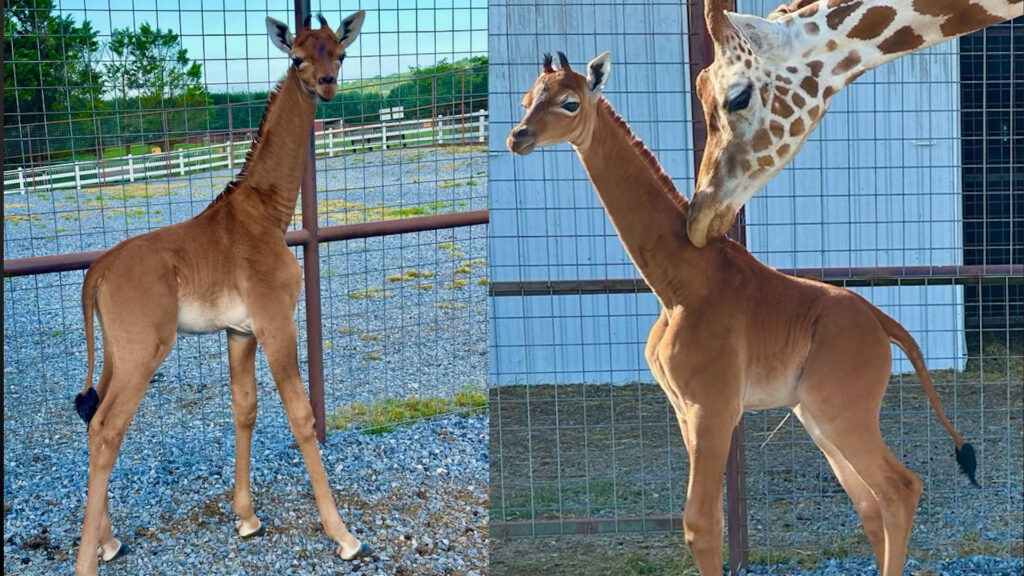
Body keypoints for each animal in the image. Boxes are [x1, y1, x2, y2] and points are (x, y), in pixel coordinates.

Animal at [71, 13, 372, 575]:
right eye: (297, 56)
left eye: (340, 53)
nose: (326, 85)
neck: (269, 214)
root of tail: (97, 271)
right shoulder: (276, 322)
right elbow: (302, 417)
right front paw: (343, 535)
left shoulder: (239, 331)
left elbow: (245, 408)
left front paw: (247, 518)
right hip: (144, 350)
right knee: (106, 429)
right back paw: (89, 559)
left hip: (117, 352)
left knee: (89, 415)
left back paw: (108, 541)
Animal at [507, 51, 978, 576]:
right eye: (526, 99)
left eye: (569, 103)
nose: (517, 137)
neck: (678, 284)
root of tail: (884, 324)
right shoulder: (684, 409)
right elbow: (708, 521)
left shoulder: (712, 406)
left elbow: (702, 524)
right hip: (816, 415)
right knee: (869, 503)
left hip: (841, 411)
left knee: (898, 489)